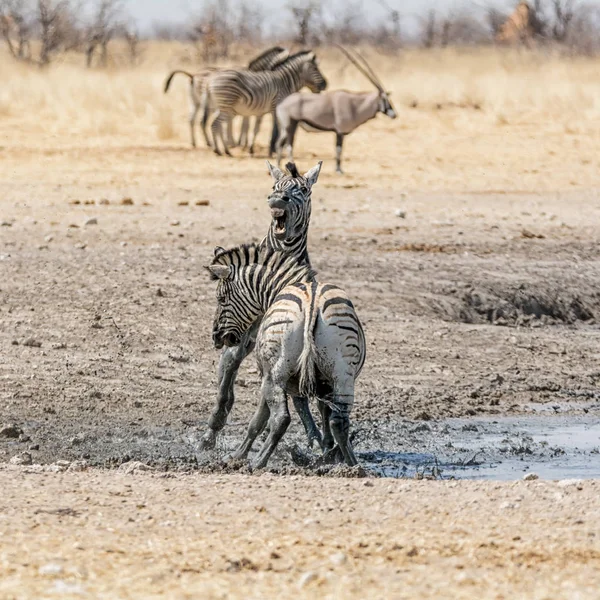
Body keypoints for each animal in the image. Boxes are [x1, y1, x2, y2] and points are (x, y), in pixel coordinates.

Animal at [199, 162, 324, 452]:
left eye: (303, 190)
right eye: (274, 187)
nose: (277, 200)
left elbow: (299, 394)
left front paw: (314, 436)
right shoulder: (241, 336)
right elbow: (227, 380)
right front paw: (213, 429)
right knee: (227, 375)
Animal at [206, 243, 366, 468]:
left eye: (221, 298)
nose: (216, 337)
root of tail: (312, 302)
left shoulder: (266, 374)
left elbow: (259, 420)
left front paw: (238, 455)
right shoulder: (326, 382)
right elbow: (325, 413)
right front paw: (329, 454)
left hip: (276, 374)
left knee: (281, 419)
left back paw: (258, 462)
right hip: (343, 374)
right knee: (339, 421)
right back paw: (353, 465)